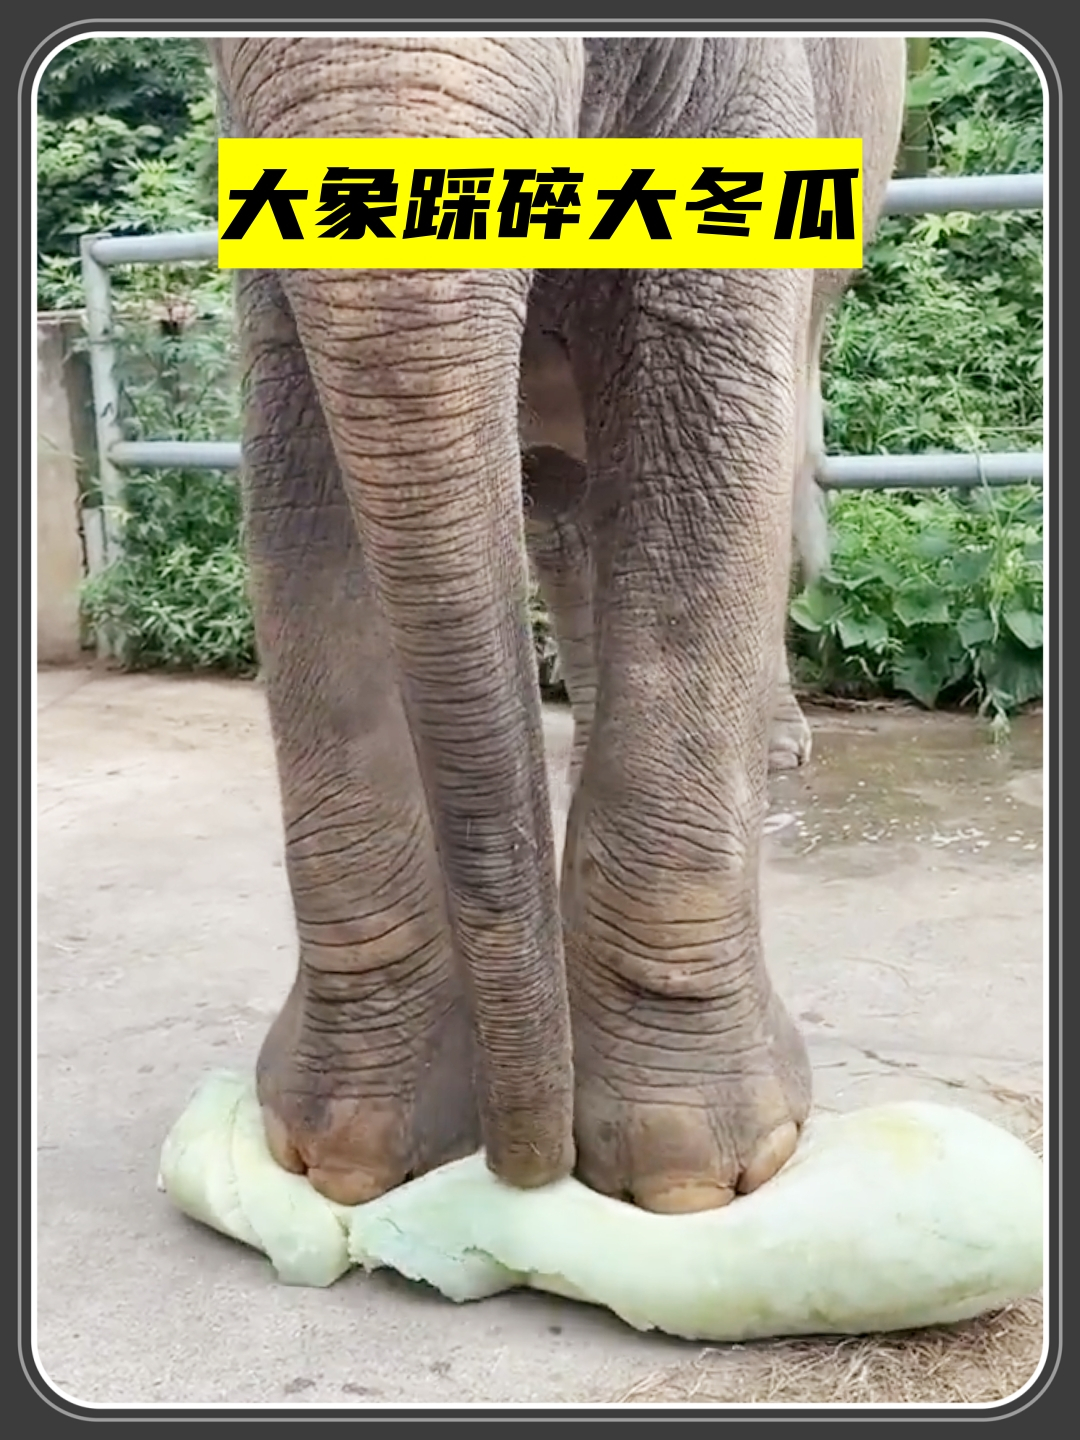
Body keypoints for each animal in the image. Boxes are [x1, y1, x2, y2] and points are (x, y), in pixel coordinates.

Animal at [210, 34, 907, 1215]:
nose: (522, 1168)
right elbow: (295, 474)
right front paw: (344, 1157)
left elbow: (711, 430)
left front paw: (691, 1172)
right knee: (564, 499)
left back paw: (771, 751)